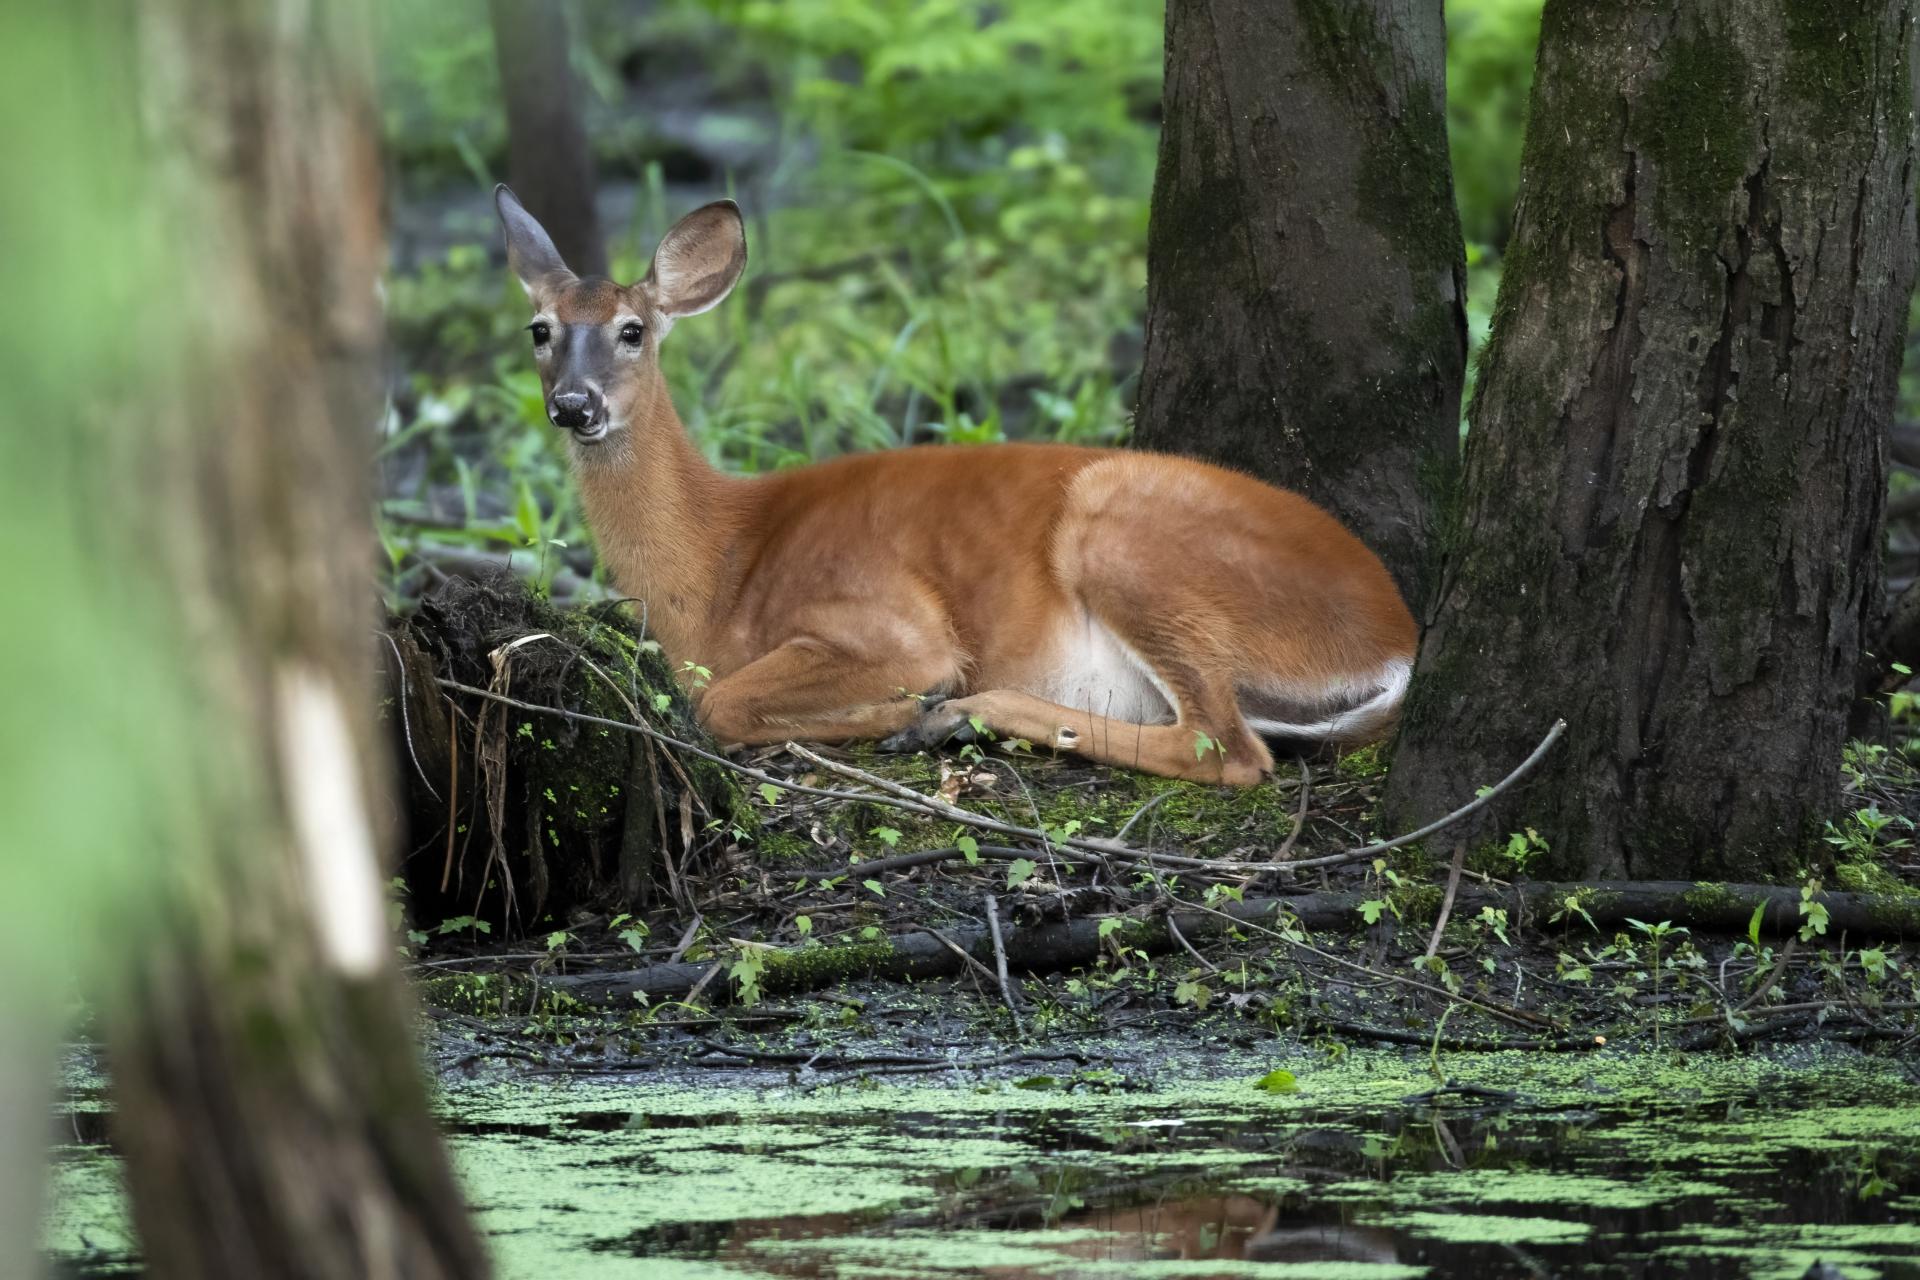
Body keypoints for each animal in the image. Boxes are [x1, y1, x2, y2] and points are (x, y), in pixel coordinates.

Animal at [494, 186, 1417, 786]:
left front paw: (900, 710)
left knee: (1229, 750)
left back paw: (949, 715)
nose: (573, 405)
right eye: (539, 329)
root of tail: (1400, 637)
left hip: (1123, 536)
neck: (720, 568)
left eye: (632, 330)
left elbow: (719, 704)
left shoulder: (890, 622)